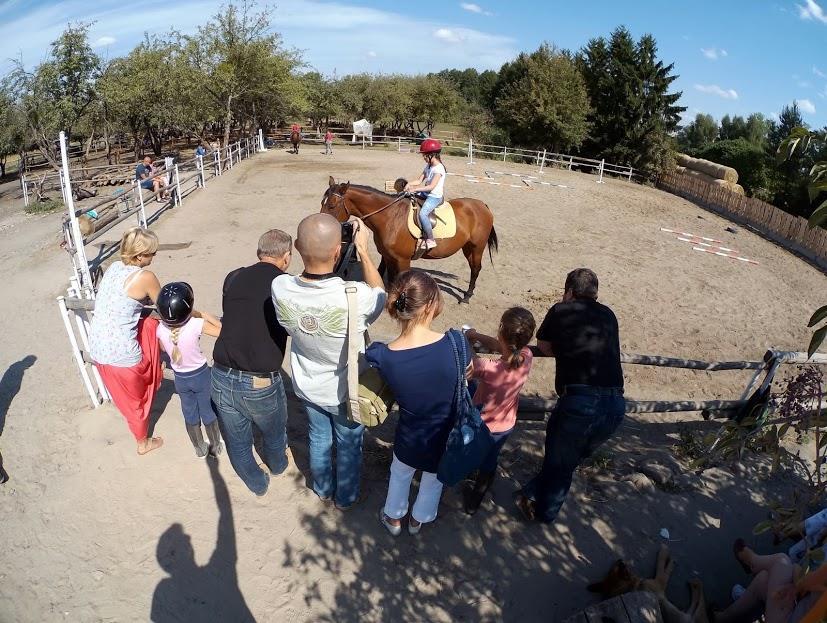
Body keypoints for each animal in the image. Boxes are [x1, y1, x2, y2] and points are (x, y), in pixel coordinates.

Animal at [320, 177, 494, 304]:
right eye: (323, 203)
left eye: (331, 206)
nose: (322, 227)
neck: (390, 218)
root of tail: (482, 205)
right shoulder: (389, 257)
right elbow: (391, 279)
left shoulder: (402, 260)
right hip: (468, 247)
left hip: (477, 247)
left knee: (476, 269)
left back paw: (467, 296)